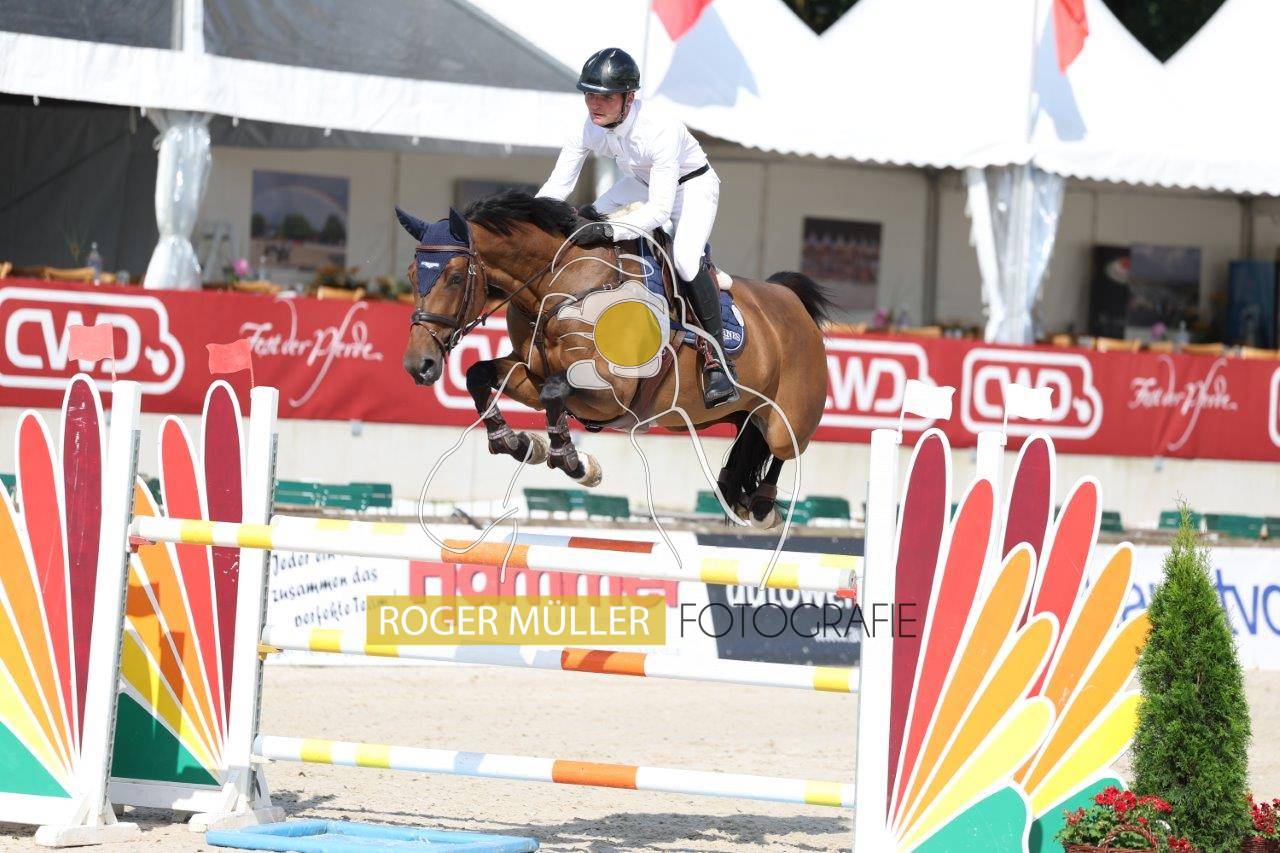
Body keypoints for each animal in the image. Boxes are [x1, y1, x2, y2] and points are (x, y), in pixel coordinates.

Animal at [397, 191, 831, 527]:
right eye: (411, 274)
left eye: (454, 277)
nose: (419, 365)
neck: (559, 287)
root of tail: (792, 301)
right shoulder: (531, 373)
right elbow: (480, 375)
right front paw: (518, 442)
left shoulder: (614, 393)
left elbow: (556, 392)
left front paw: (573, 461)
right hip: (727, 412)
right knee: (748, 434)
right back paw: (730, 487)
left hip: (788, 417)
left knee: (782, 447)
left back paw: (762, 505)